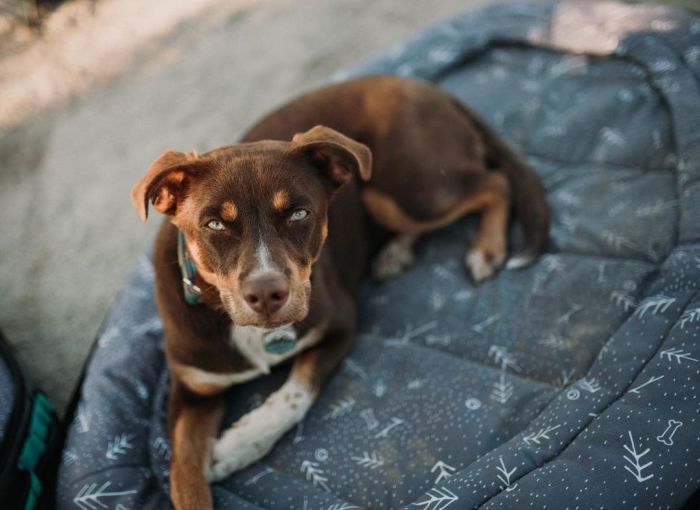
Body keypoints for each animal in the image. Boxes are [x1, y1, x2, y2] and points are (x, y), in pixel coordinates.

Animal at [130, 75, 548, 510]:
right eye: (214, 224)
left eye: (299, 214)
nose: (267, 295)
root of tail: (425, 88)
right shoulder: (191, 390)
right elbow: (183, 475)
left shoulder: (339, 323)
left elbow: (296, 394)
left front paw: (238, 445)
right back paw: (396, 253)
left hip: (403, 189)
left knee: (495, 183)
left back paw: (486, 247)